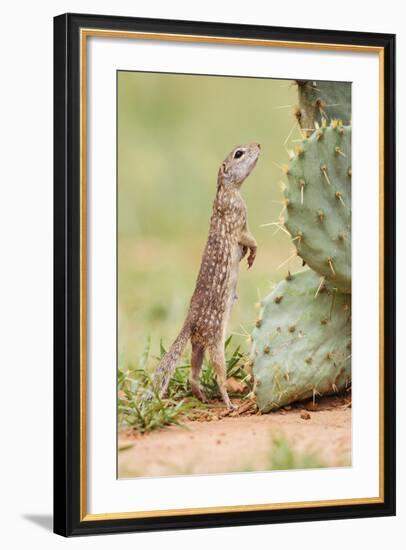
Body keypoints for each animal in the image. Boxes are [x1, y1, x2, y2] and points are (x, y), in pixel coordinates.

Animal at [150, 142, 260, 410]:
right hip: (215, 343)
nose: (259, 145)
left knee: (193, 372)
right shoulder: (239, 220)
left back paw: (201, 396)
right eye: (239, 153)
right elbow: (249, 238)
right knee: (219, 374)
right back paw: (229, 404)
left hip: (198, 346)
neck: (225, 191)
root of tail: (189, 323)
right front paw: (253, 252)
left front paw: (248, 255)